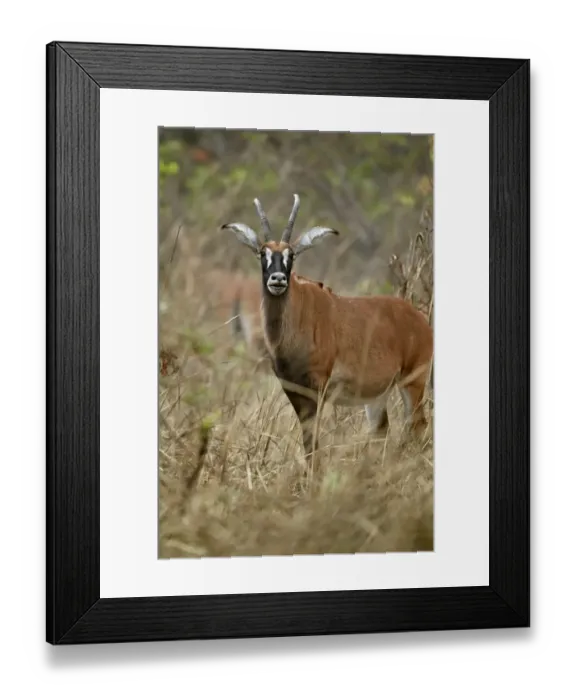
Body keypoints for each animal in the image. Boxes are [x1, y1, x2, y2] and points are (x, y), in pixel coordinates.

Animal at [220, 194, 434, 464]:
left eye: (291, 254)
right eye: (262, 252)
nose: (278, 279)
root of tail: (419, 319)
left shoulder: (317, 387)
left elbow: (313, 443)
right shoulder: (293, 389)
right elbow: (308, 441)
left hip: (413, 381)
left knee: (418, 427)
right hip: (377, 394)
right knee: (382, 430)